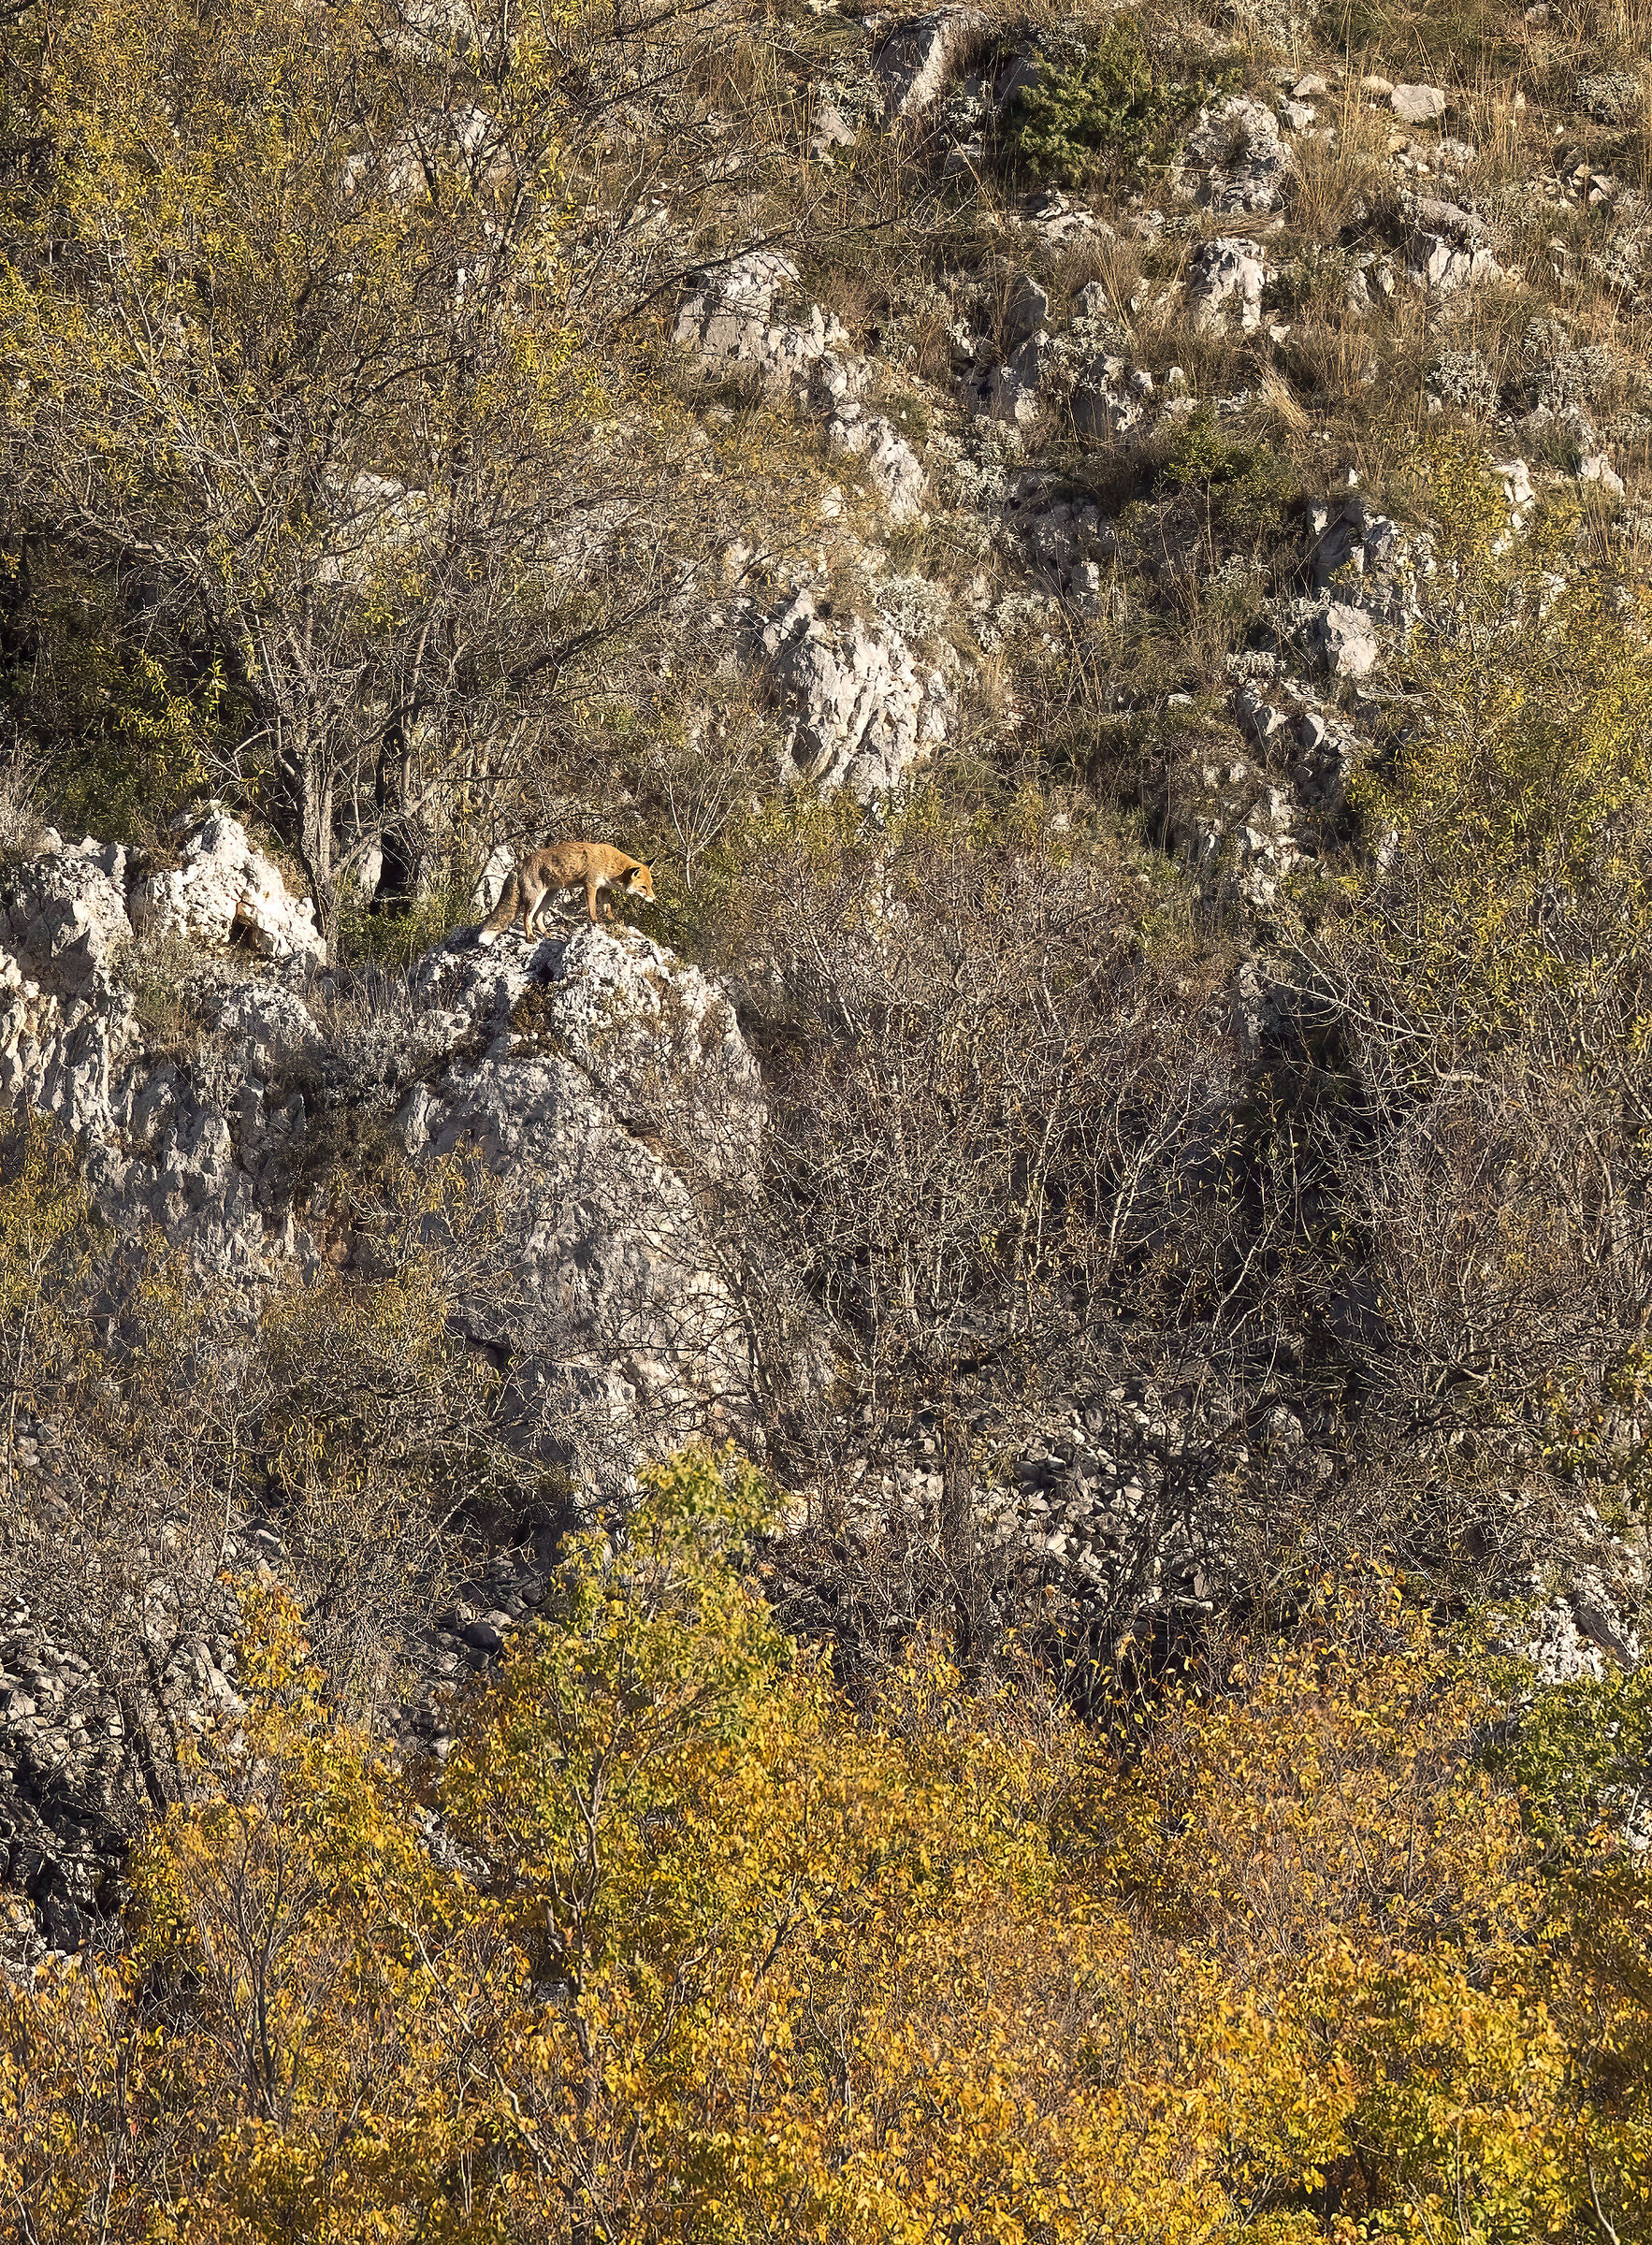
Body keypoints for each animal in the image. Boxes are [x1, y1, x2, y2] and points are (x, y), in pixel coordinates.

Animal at [479, 840, 657, 942]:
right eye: (643, 887)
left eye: (651, 885)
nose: (654, 899)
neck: (610, 865)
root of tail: (519, 864)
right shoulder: (590, 885)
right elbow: (592, 908)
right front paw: (595, 921)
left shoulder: (604, 889)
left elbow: (607, 908)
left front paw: (612, 920)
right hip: (535, 898)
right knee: (526, 918)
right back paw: (530, 937)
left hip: (550, 896)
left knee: (537, 918)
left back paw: (548, 935)